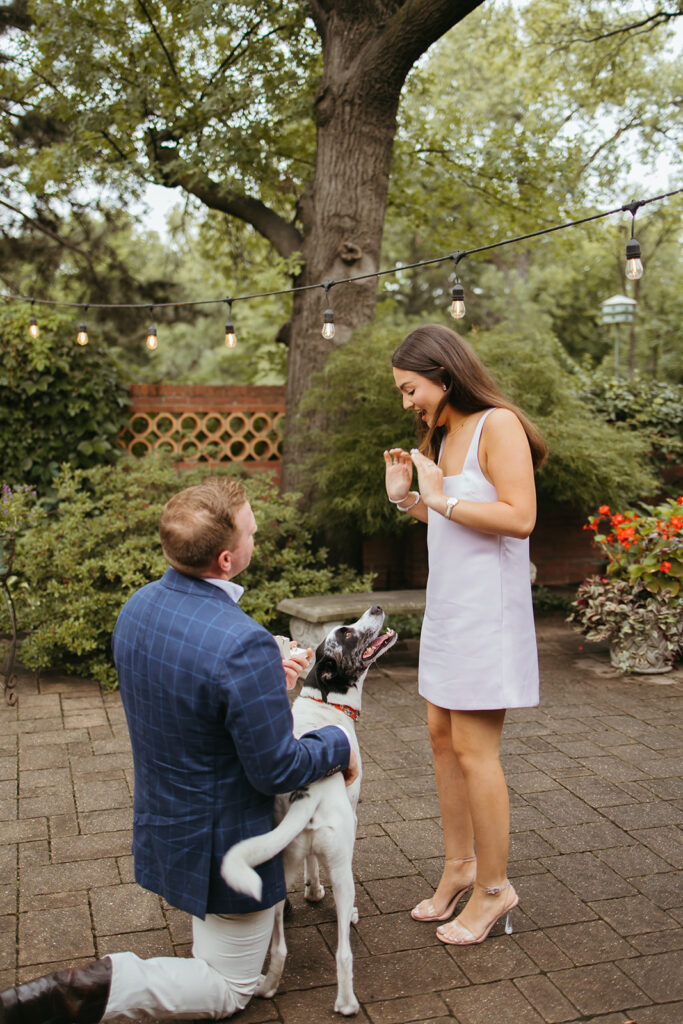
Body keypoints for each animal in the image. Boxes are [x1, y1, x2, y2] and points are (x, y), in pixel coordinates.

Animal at [222, 606, 397, 1015]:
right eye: (346, 634)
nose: (376, 608)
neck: (326, 701)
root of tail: (308, 793)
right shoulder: (353, 812)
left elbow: (312, 867)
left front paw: (313, 891)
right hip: (343, 869)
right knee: (344, 953)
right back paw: (346, 1002)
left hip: (276, 872)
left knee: (279, 948)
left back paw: (268, 987)